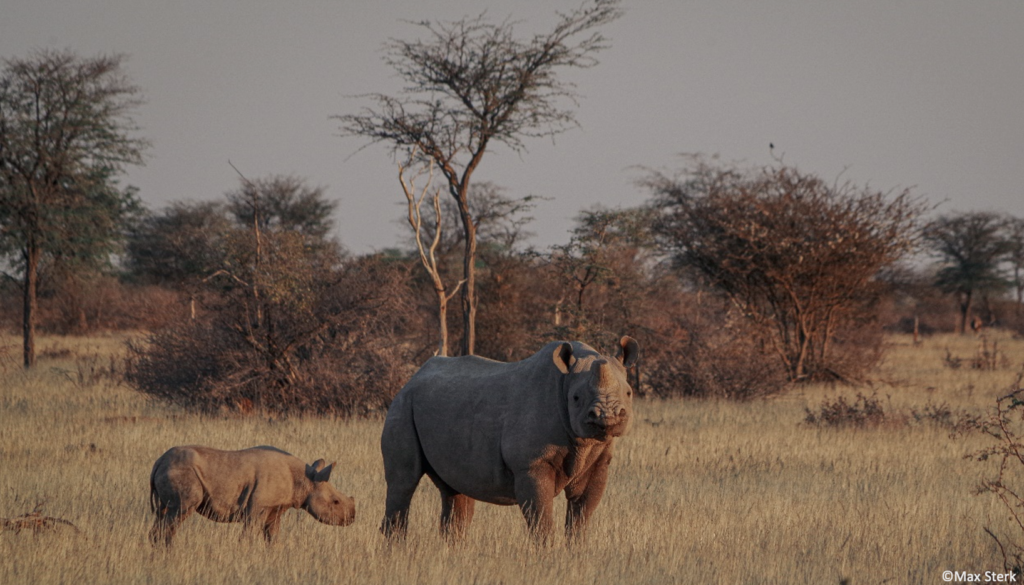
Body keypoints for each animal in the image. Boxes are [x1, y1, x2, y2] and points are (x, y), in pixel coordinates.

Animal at [148, 446, 356, 549]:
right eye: (336, 502)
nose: (352, 518)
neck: (305, 480)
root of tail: (158, 462)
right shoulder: (258, 507)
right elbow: (249, 534)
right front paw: (245, 554)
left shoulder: (275, 508)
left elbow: (273, 536)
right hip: (182, 472)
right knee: (180, 512)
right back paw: (169, 552)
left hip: (171, 470)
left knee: (163, 514)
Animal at [382, 338, 638, 545]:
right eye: (576, 398)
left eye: (629, 393)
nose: (607, 417)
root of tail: (412, 378)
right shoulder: (531, 465)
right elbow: (540, 519)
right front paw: (547, 555)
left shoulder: (598, 460)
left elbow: (581, 514)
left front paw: (576, 552)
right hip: (403, 404)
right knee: (403, 482)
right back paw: (396, 549)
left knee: (454, 490)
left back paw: (453, 551)